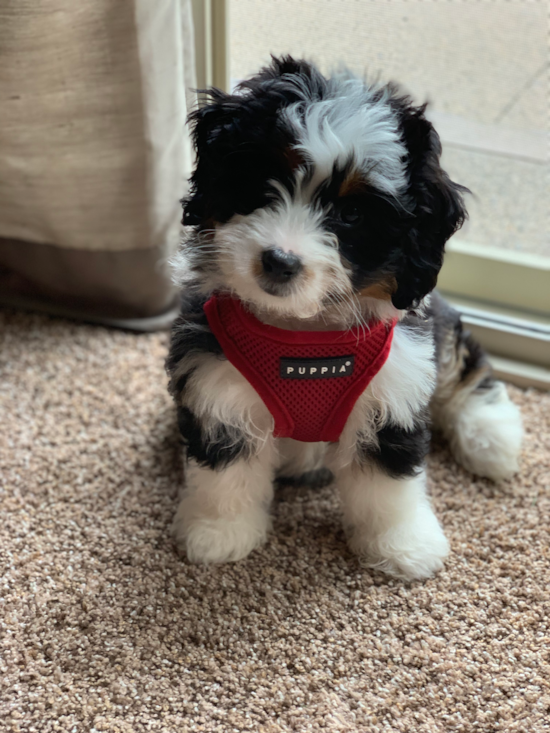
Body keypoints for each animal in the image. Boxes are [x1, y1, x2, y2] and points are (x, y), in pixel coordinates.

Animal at [166, 55, 524, 576]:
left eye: (352, 214)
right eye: (263, 183)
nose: (279, 260)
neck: (305, 333)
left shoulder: (394, 387)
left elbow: (387, 483)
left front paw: (403, 545)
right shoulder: (217, 383)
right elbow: (225, 472)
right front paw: (218, 533)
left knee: (465, 371)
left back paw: (493, 438)